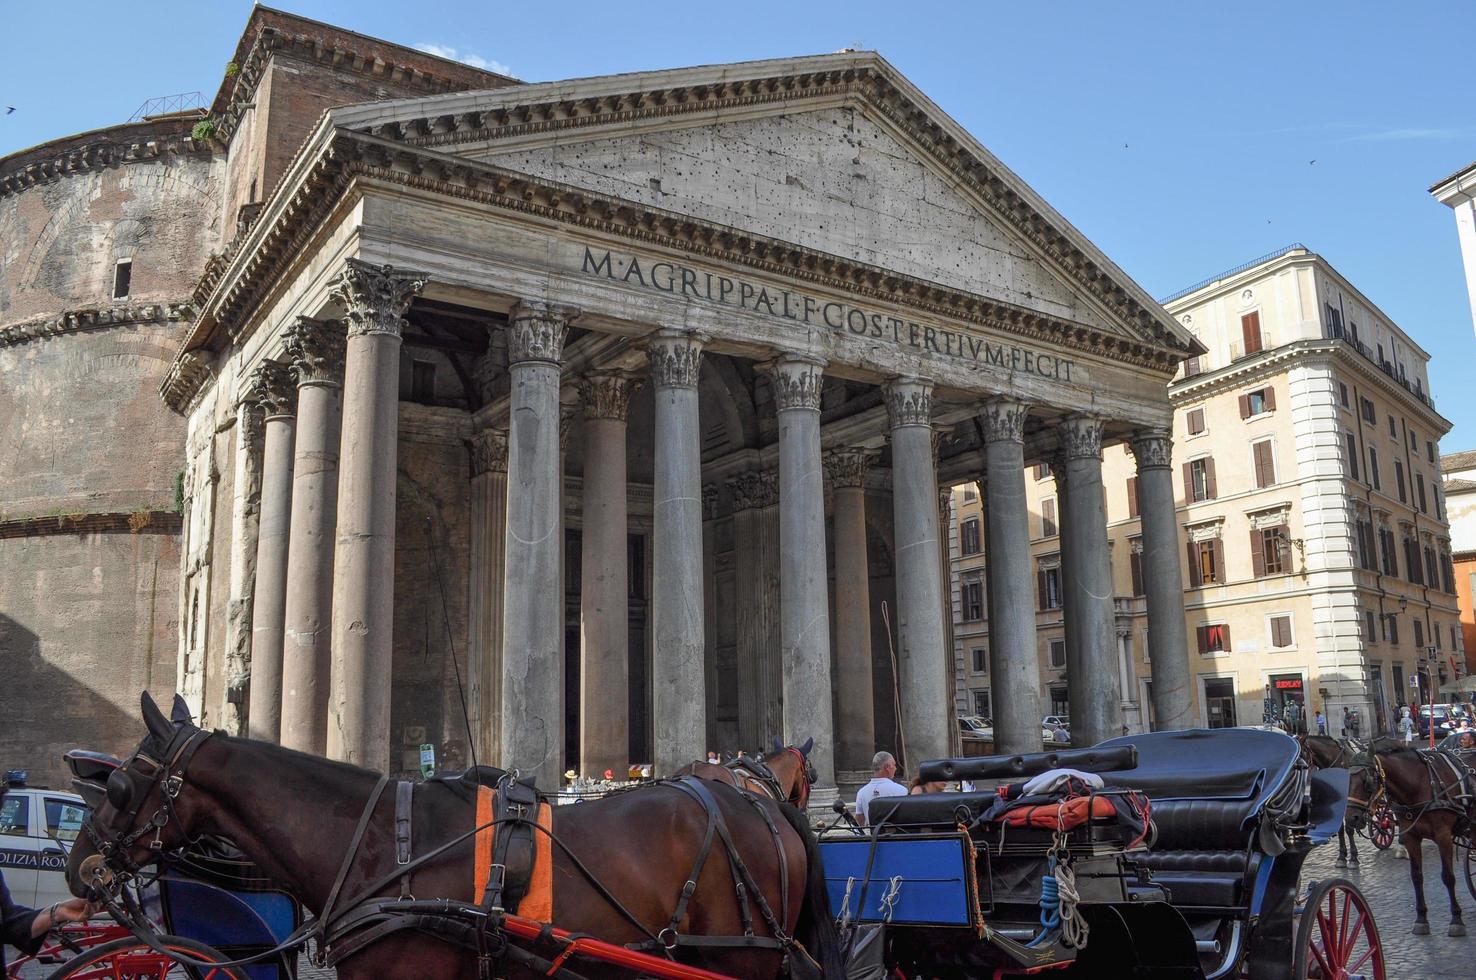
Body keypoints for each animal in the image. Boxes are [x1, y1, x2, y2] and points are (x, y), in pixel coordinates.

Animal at [1352, 737, 1464, 938]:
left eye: (1367, 782)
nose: (1350, 818)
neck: (1421, 785)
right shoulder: (1411, 836)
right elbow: (1416, 877)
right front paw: (1421, 919)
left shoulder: (1443, 836)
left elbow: (1448, 876)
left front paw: (1456, 919)